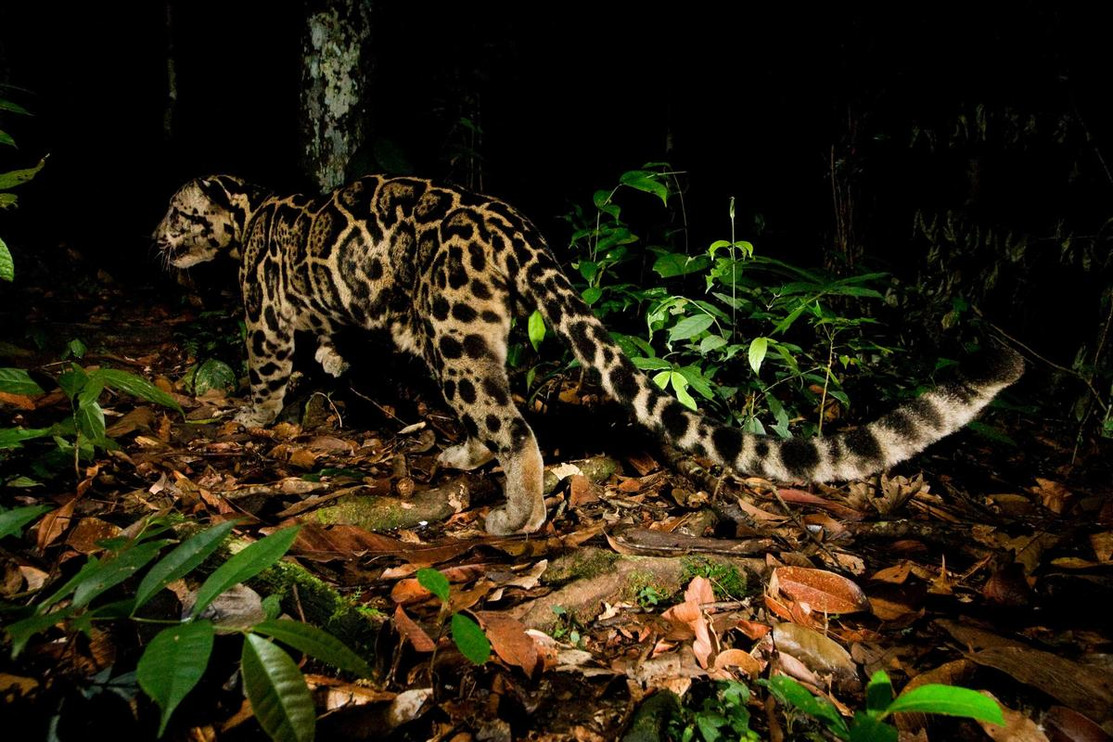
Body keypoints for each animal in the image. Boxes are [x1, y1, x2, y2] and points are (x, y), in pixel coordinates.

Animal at [154, 174, 1023, 535]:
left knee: (518, 429)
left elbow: (267, 370)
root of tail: (512, 226)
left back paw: (515, 513)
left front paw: (247, 414)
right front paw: (335, 364)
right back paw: (465, 454)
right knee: (494, 413)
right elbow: (334, 338)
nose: (152, 239)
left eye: (174, 216)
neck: (247, 218)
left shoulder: (266, 317)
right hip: (467, 334)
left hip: (455, 336)